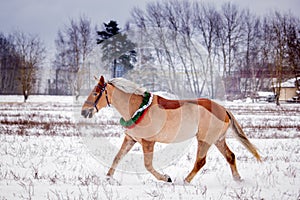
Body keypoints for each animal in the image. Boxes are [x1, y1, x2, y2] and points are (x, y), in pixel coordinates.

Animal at [81, 75, 262, 183]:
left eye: (96, 92)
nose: (84, 111)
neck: (138, 108)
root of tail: (223, 109)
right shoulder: (131, 139)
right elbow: (117, 157)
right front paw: (108, 178)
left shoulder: (148, 142)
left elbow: (148, 165)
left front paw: (166, 178)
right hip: (218, 140)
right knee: (230, 156)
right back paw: (238, 180)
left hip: (204, 140)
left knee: (200, 162)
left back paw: (185, 182)